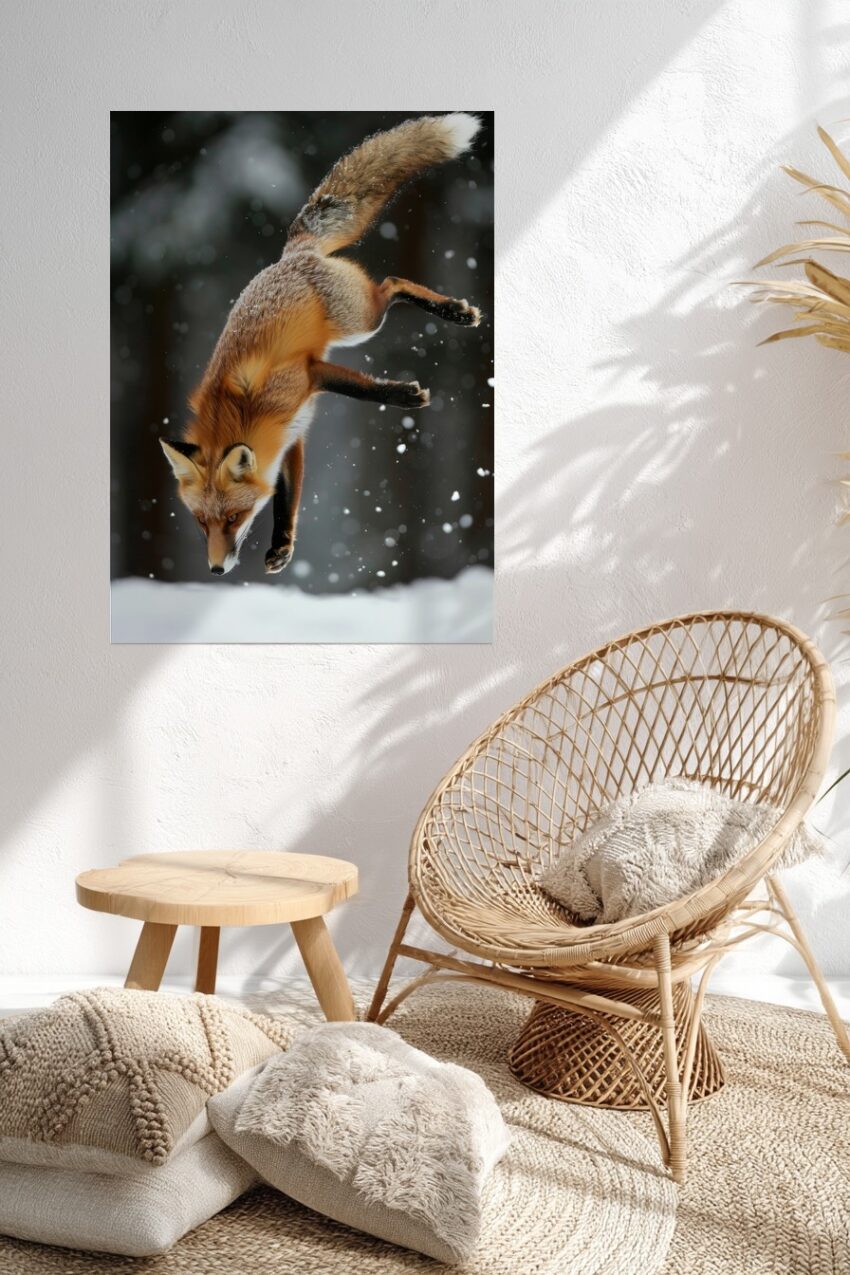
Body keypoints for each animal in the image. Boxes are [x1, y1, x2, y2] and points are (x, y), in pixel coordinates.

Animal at [160, 112, 483, 577]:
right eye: (202, 522)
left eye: (234, 518)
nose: (216, 570)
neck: (242, 414)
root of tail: (293, 252)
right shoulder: (290, 437)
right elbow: (286, 499)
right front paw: (282, 547)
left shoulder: (308, 374)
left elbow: (360, 388)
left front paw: (404, 395)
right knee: (391, 284)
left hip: (362, 322)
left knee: (392, 284)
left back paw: (455, 312)